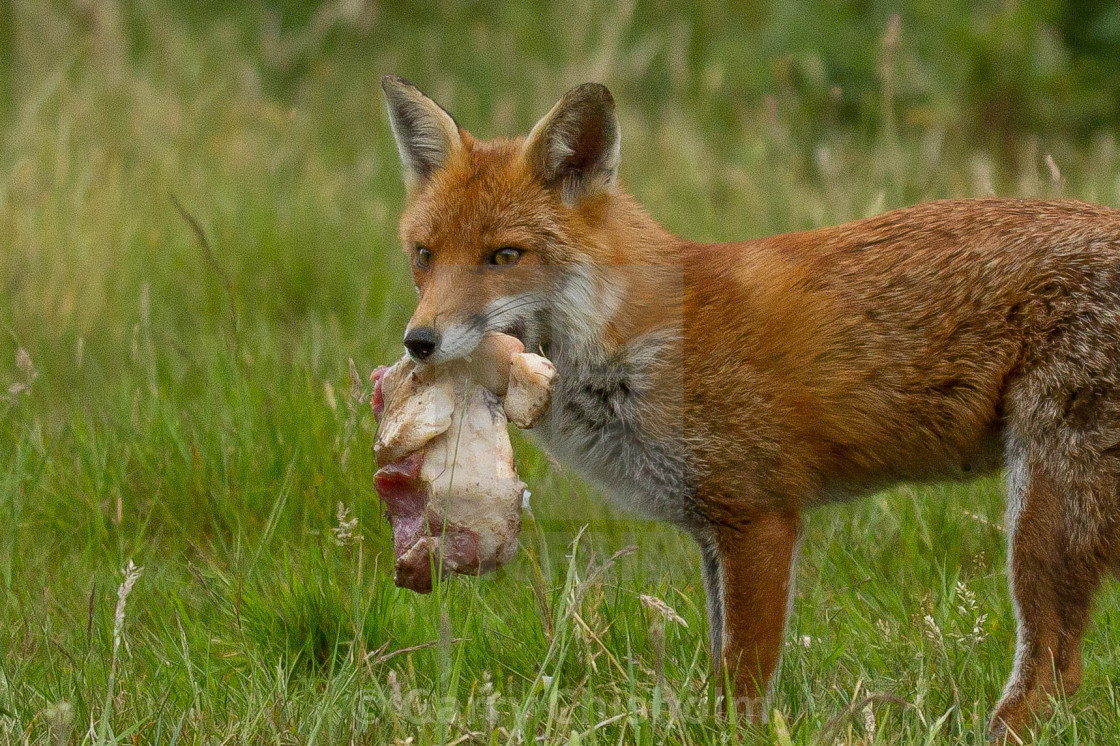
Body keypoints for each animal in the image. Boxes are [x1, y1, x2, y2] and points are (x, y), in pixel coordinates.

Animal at [378, 72, 1120, 734]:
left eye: (505, 255)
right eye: (424, 255)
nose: (419, 342)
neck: (641, 342)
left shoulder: (759, 518)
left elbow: (743, 678)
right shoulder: (713, 529)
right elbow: (720, 668)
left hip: (1044, 513)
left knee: (1054, 673)